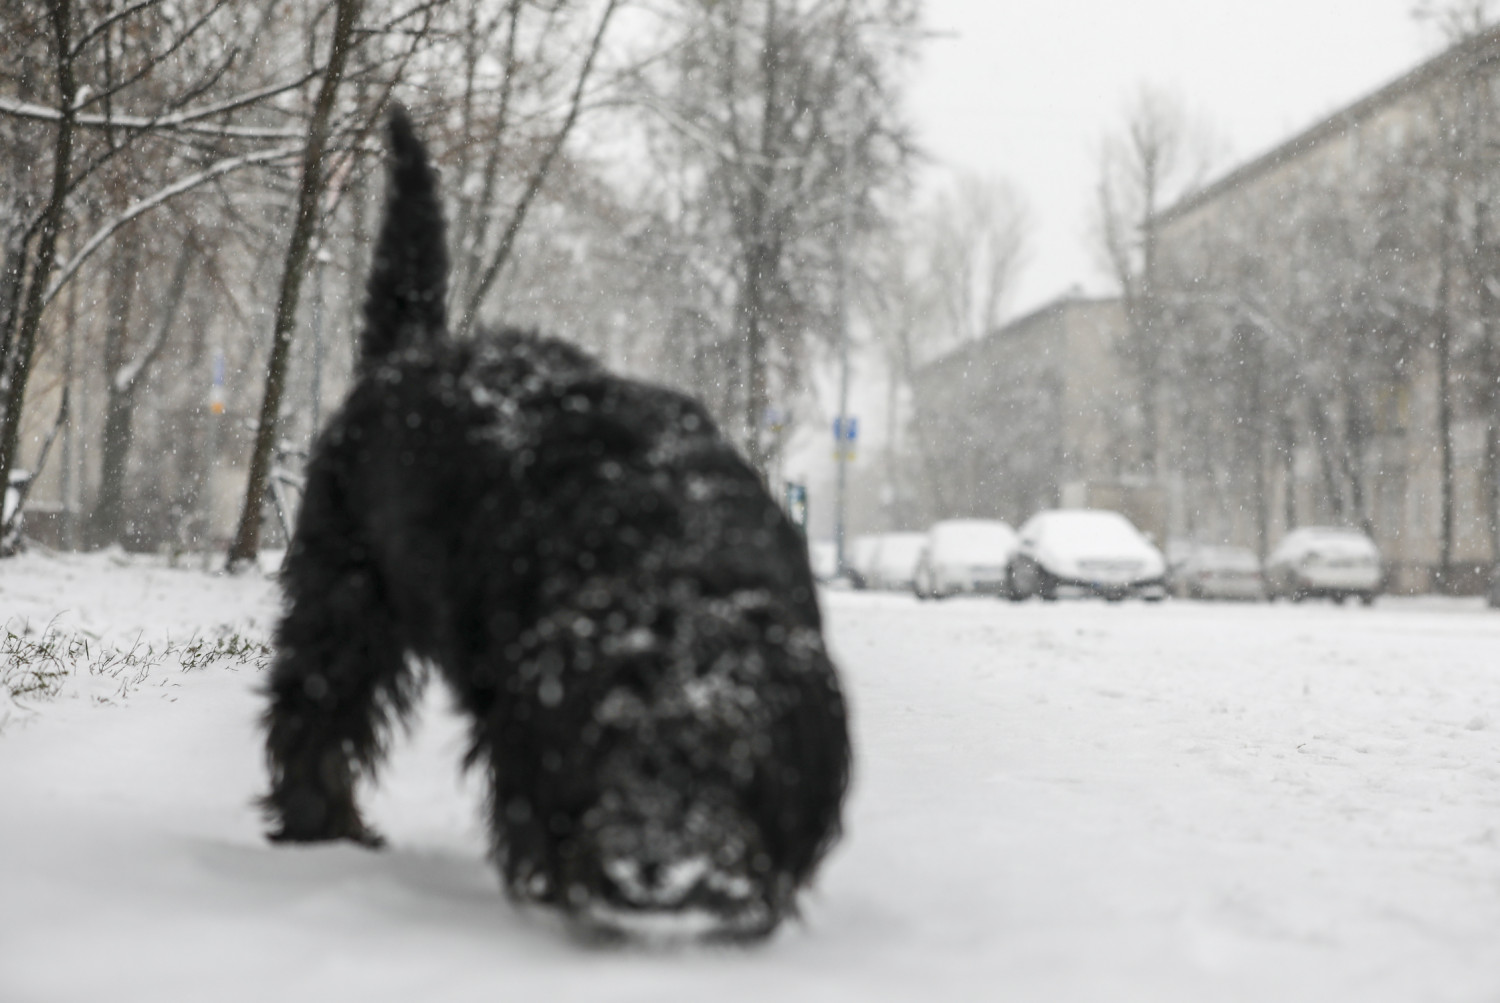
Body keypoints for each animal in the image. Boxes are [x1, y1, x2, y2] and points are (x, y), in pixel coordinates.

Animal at [260, 107, 850, 940]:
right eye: (607, 739)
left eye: (723, 750)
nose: (653, 865)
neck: (674, 560)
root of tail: (409, 351)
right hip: (344, 599)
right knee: (314, 709)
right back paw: (320, 824)